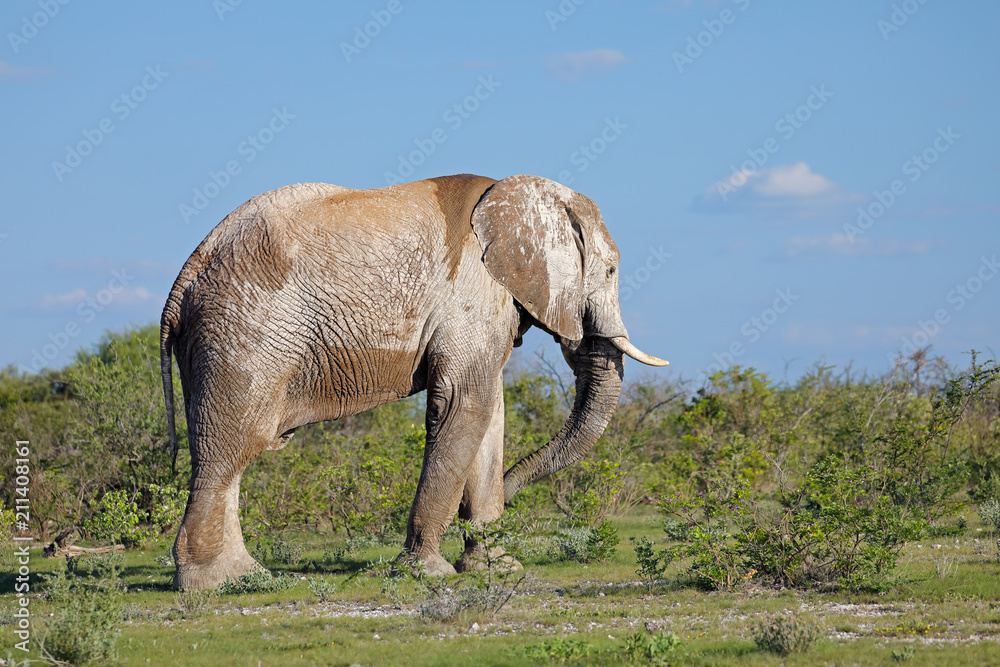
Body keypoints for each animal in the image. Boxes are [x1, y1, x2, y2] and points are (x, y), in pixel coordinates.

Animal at [160, 173, 667, 590]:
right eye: (611, 270)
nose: (512, 492)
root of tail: (182, 280)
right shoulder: (472, 288)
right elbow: (464, 404)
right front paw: (429, 572)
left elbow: (488, 415)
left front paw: (497, 568)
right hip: (244, 332)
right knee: (233, 448)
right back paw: (224, 582)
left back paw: (238, 577)